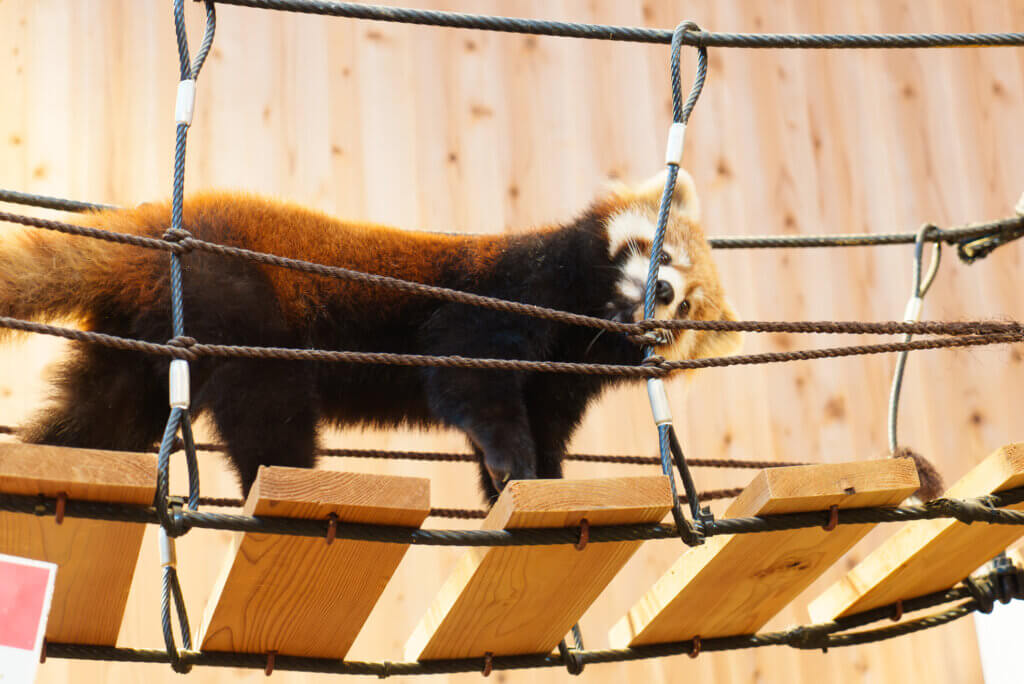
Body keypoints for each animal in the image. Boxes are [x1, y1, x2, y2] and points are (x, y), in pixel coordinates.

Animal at [0, 169, 737, 501]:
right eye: (664, 258)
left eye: (687, 309)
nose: (661, 295)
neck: (579, 328)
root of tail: (157, 228)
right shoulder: (505, 293)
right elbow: (467, 379)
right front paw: (513, 462)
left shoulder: (562, 384)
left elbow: (539, 428)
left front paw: (530, 486)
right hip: (240, 309)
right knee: (268, 414)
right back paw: (290, 481)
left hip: (137, 346)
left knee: (100, 415)